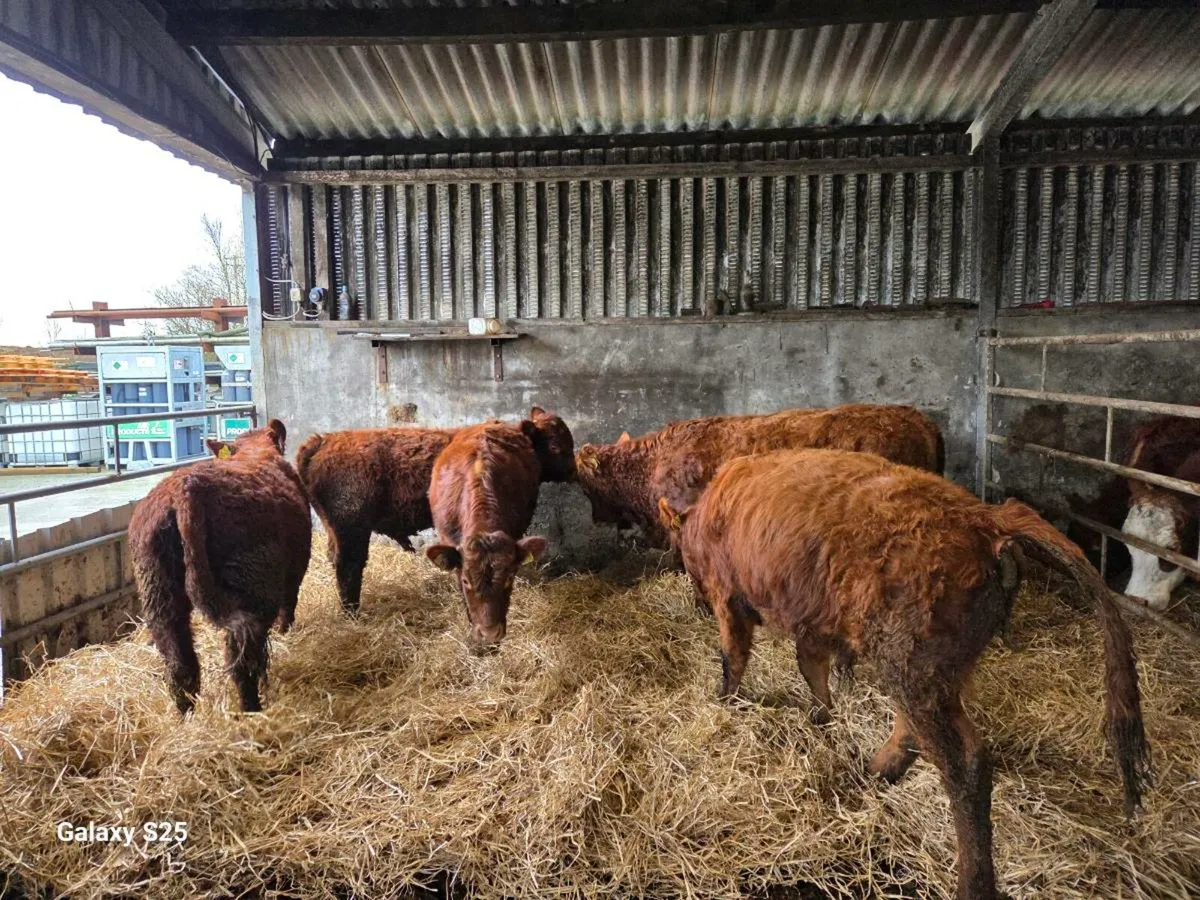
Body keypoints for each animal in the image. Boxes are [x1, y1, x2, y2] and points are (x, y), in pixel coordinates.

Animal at [128, 420, 312, 714]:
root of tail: (185, 488)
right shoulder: (296, 569)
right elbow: (289, 605)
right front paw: (285, 632)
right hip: (252, 591)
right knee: (243, 658)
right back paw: (252, 709)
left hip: (158, 593)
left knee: (179, 661)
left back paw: (187, 716)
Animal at [659, 448, 1149, 900]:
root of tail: (987, 520)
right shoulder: (813, 621)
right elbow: (812, 668)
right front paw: (822, 716)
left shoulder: (728, 597)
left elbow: (733, 657)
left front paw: (724, 700)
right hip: (928, 670)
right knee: (911, 727)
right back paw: (875, 772)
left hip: (914, 668)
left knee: (963, 763)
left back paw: (972, 882)